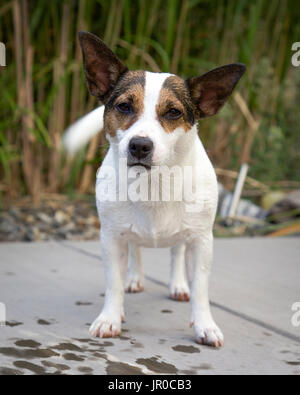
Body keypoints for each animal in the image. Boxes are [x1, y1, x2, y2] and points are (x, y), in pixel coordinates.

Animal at [64, 31, 245, 346]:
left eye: (173, 112)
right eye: (124, 106)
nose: (140, 145)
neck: (154, 184)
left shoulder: (202, 241)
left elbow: (200, 288)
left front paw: (204, 324)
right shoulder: (111, 238)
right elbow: (113, 282)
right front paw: (111, 317)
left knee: (177, 253)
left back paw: (178, 285)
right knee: (136, 248)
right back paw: (135, 278)